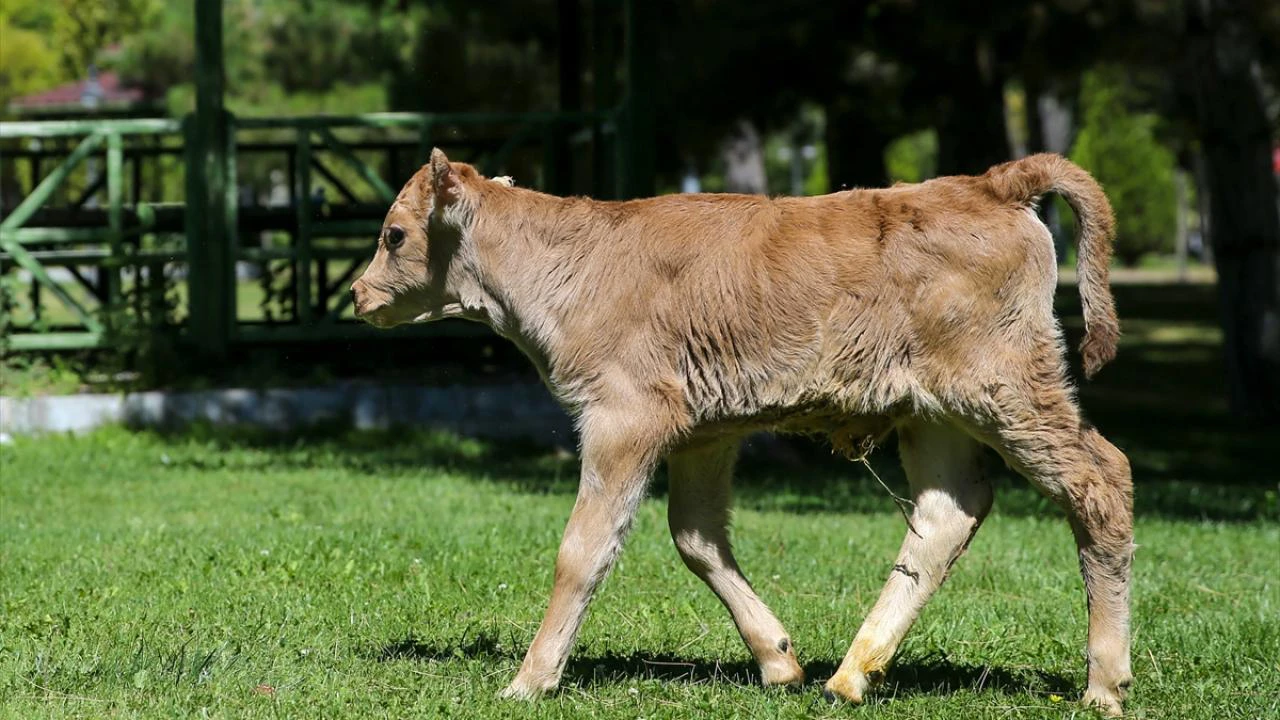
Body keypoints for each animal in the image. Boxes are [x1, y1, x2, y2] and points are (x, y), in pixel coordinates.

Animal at [348, 149, 1131, 712]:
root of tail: (989, 184)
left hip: (1010, 391)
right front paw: (779, 661)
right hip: (934, 414)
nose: (357, 293)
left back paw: (1104, 684)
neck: (573, 263)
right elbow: (696, 538)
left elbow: (584, 549)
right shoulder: (704, 433)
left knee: (1101, 482)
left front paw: (529, 680)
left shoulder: (621, 419)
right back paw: (850, 675)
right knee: (948, 513)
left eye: (393, 234)